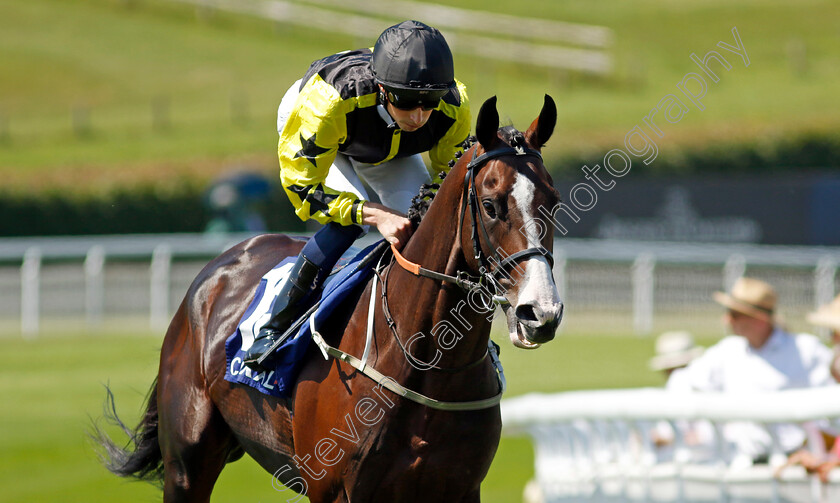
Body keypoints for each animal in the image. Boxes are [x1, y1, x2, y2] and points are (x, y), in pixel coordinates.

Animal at [97, 96, 564, 502]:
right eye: (490, 205)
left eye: (555, 202)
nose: (540, 314)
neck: (424, 361)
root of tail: (217, 269)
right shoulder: (336, 490)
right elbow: (307, 186)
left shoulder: (459, 489)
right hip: (187, 465)